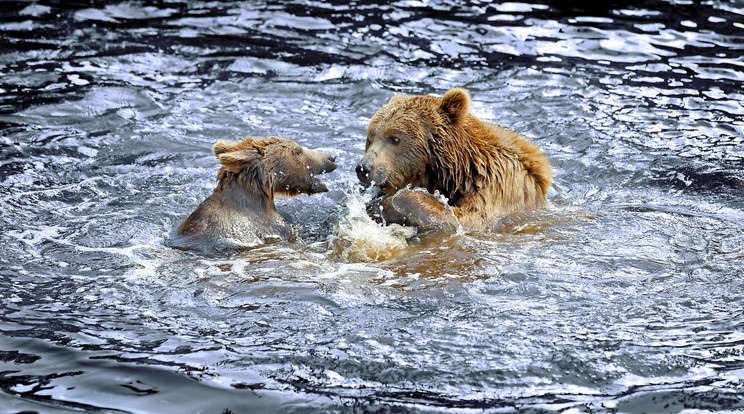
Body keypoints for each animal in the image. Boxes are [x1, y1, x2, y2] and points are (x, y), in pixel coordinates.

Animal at [354, 87, 552, 231]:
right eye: (370, 138)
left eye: (394, 139)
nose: (364, 168)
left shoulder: (491, 188)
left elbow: (463, 218)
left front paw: (386, 204)